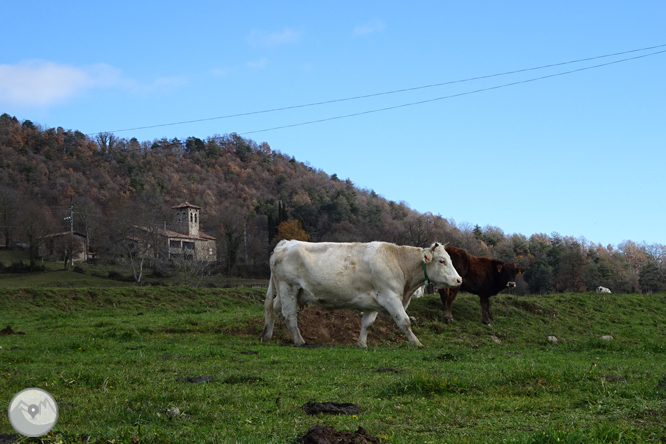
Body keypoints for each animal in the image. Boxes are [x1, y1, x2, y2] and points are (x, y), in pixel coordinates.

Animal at [260, 239, 462, 346]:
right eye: (442, 261)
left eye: (450, 259)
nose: (459, 280)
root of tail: (286, 243)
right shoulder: (390, 297)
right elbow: (405, 322)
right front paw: (416, 343)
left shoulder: (373, 302)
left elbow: (367, 324)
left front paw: (362, 344)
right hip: (288, 288)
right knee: (289, 315)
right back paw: (299, 341)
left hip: (287, 292)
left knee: (271, 308)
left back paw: (267, 334)